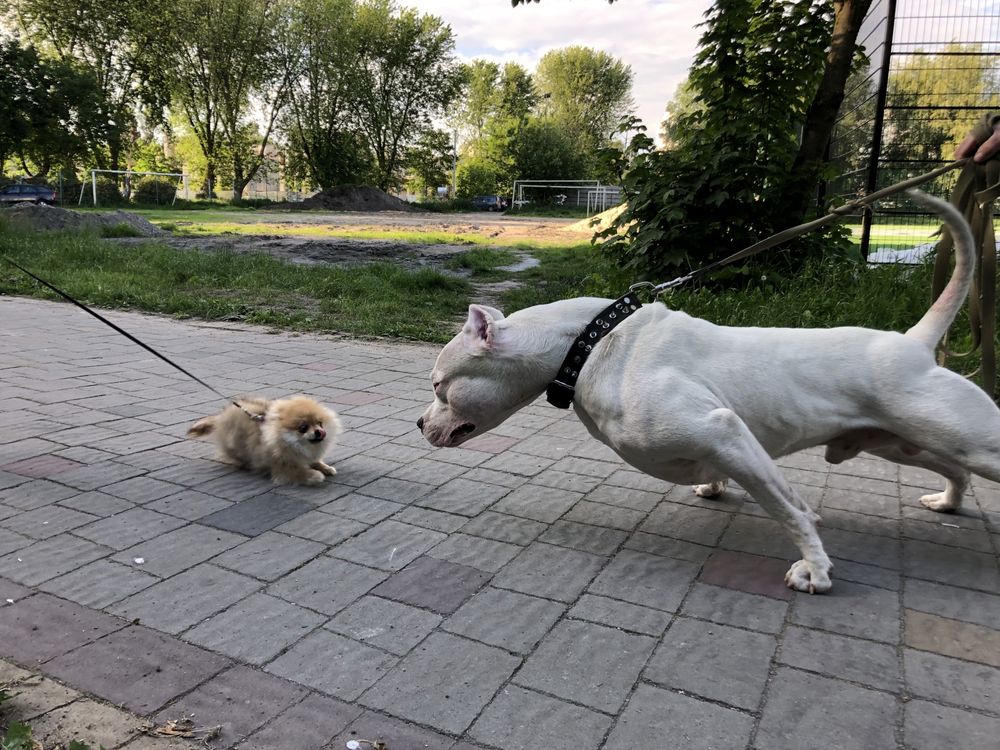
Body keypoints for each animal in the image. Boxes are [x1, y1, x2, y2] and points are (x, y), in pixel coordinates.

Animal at [187, 396, 340, 484]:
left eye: (319, 423)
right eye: (303, 427)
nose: (320, 432)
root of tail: (220, 417)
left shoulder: (305, 455)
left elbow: (316, 461)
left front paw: (326, 468)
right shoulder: (283, 466)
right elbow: (300, 471)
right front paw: (315, 475)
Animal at [420, 192, 992, 592]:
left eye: (439, 385)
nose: (420, 424)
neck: (585, 342)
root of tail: (914, 343)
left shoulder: (723, 432)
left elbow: (790, 510)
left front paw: (814, 567)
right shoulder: (726, 445)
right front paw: (715, 487)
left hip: (971, 442)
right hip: (897, 443)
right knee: (955, 470)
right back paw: (946, 502)